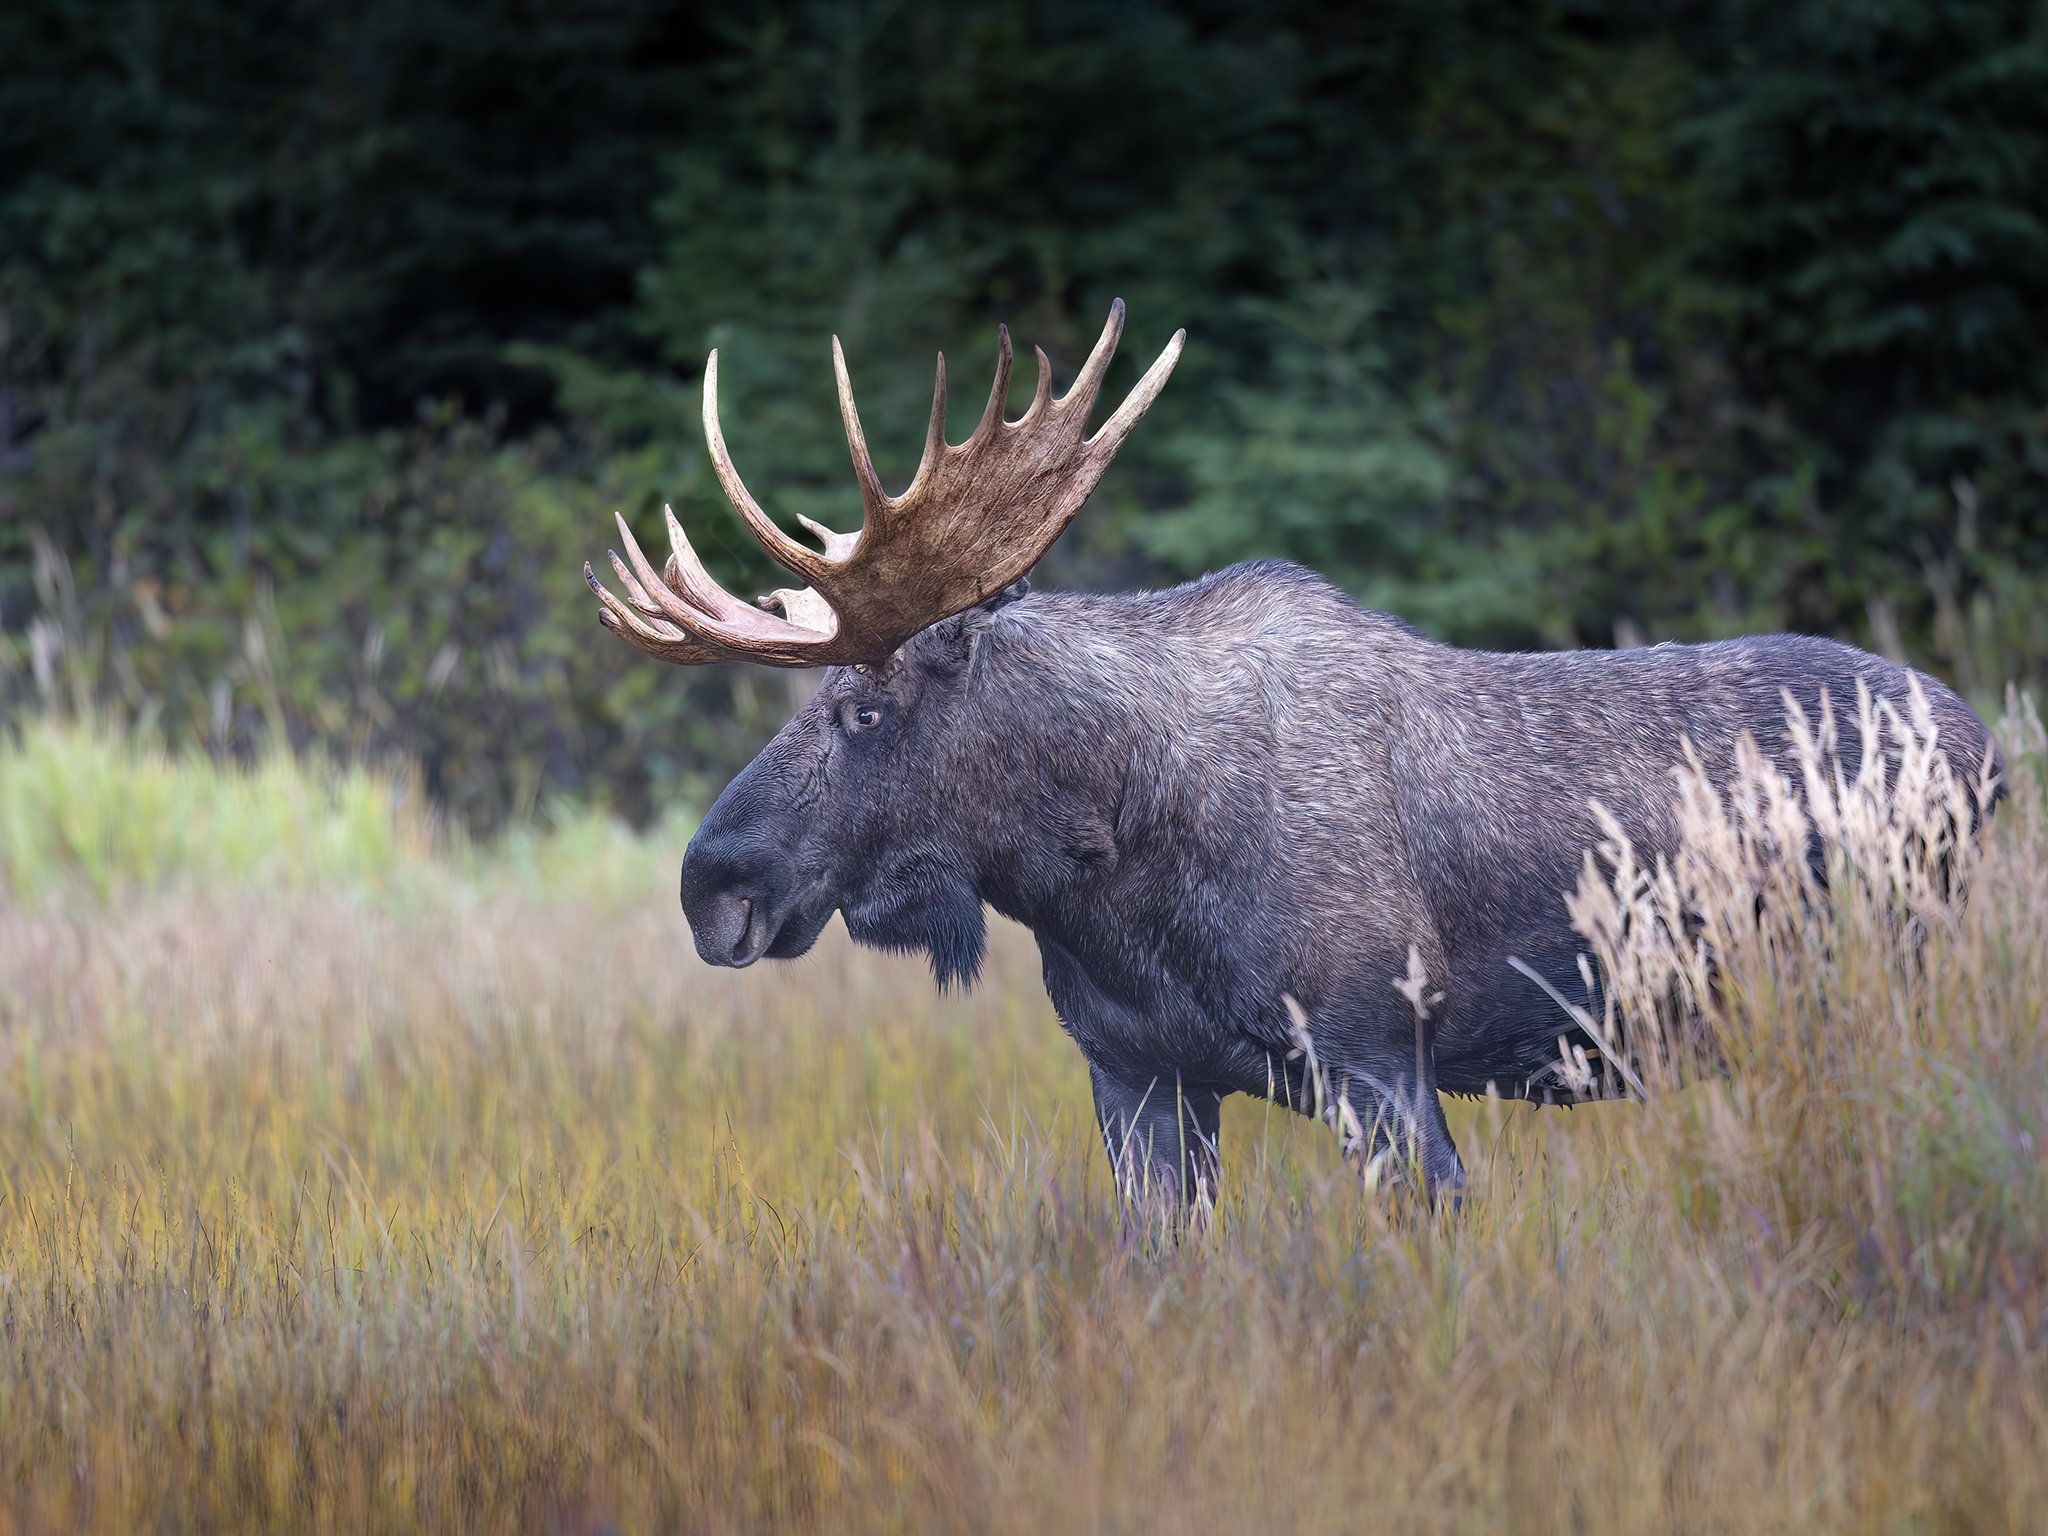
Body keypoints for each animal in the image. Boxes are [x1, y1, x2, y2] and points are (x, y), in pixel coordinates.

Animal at [585, 302, 1997, 1204]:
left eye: (865, 711)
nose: (712, 887)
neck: (1102, 868)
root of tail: (1989, 747)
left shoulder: (1378, 1060)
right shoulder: (1136, 1080)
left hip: (1902, 976)